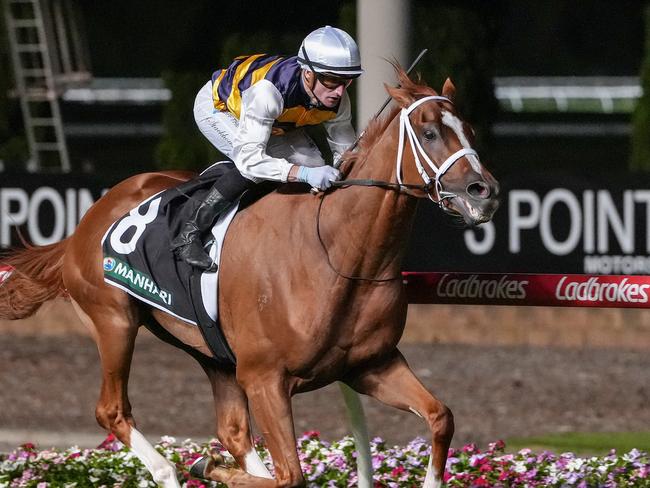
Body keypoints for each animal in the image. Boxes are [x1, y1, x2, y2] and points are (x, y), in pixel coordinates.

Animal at [0, 69, 496, 488]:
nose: (484, 191)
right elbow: (290, 476)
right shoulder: (265, 379)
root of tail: (86, 221)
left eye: (469, 130)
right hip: (114, 320)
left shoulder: (371, 366)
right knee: (113, 411)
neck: (339, 255)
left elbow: (440, 417)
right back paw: (171, 470)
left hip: (211, 351)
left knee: (233, 431)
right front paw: (206, 465)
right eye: (429, 132)